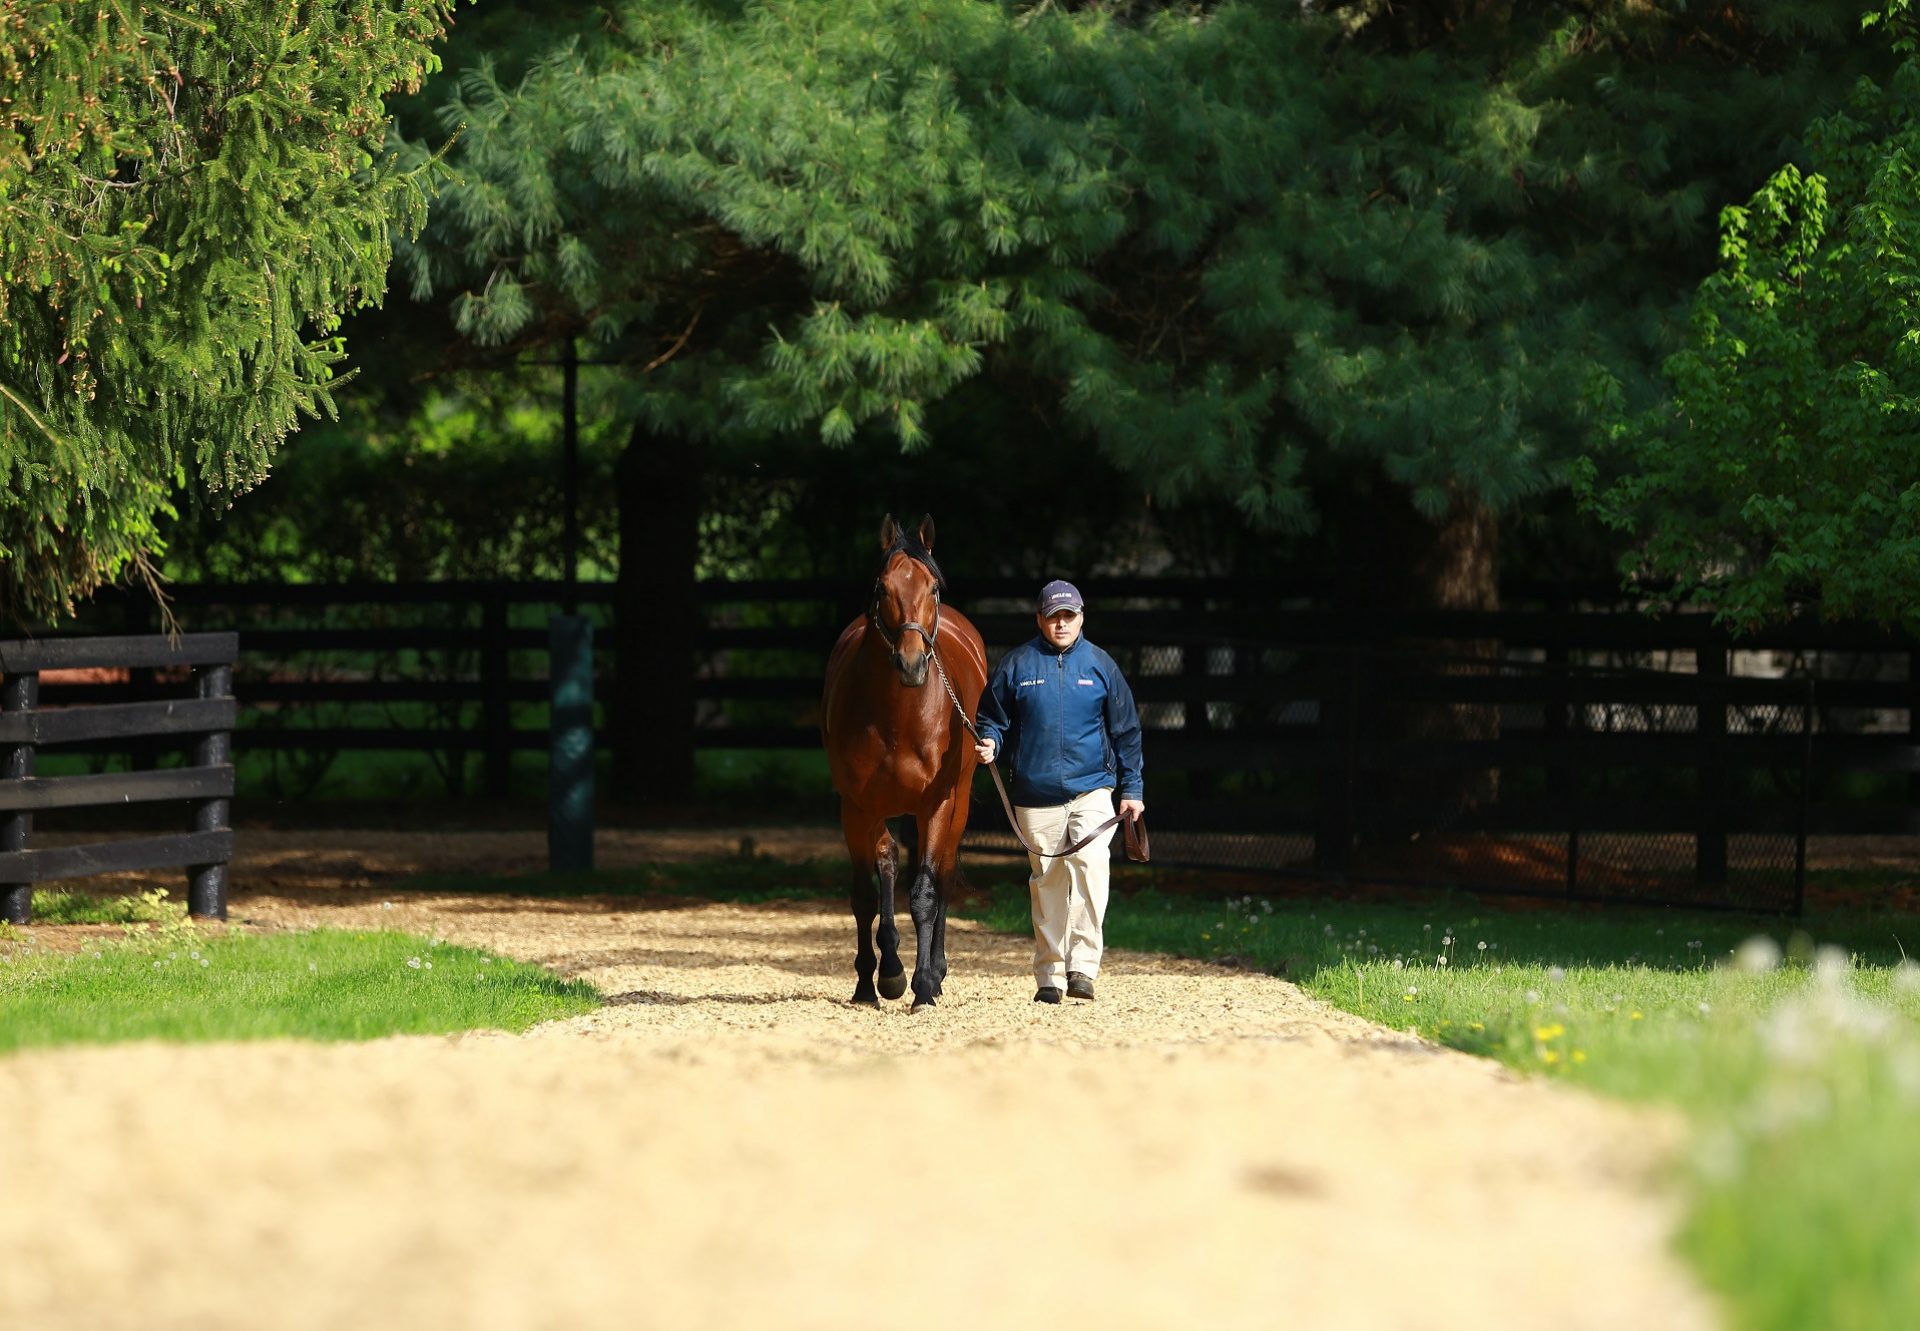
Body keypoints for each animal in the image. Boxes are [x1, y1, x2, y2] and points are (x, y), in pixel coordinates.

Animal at [821, 507, 990, 1006]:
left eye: (933, 588)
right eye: (883, 588)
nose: (912, 663)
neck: (899, 716)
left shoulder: (936, 805)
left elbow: (926, 893)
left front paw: (925, 987)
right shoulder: (856, 807)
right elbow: (864, 893)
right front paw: (869, 983)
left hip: (958, 803)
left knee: (944, 874)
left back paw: (934, 969)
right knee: (888, 862)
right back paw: (891, 968)